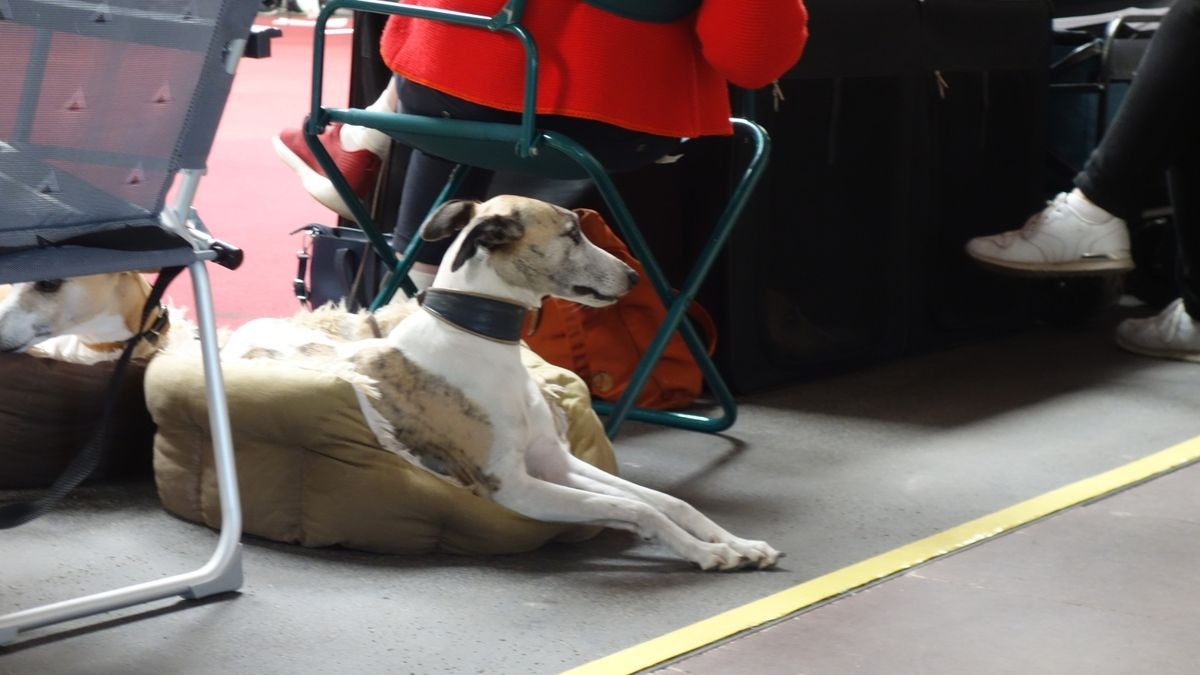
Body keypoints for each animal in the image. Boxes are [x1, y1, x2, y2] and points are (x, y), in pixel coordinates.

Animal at [229, 193, 782, 566]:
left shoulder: (554, 463)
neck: (481, 340)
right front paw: (706, 553)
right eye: (572, 233)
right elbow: (635, 507)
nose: (632, 277)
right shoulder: (512, 486)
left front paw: (735, 542)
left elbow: (665, 500)